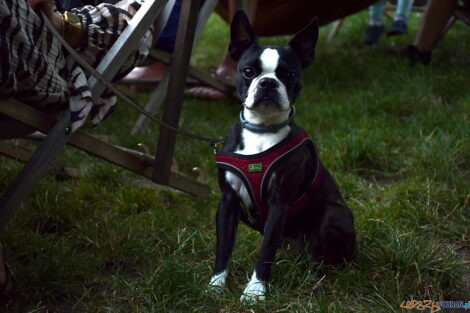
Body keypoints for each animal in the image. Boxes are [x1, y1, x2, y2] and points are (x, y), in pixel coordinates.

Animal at [209, 10, 356, 302]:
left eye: (289, 74)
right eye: (248, 72)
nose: (267, 82)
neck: (261, 130)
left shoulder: (279, 204)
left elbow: (265, 250)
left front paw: (255, 291)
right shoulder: (228, 202)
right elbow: (224, 246)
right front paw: (216, 284)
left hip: (335, 216)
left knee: (325, 257)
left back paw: (316, 277)